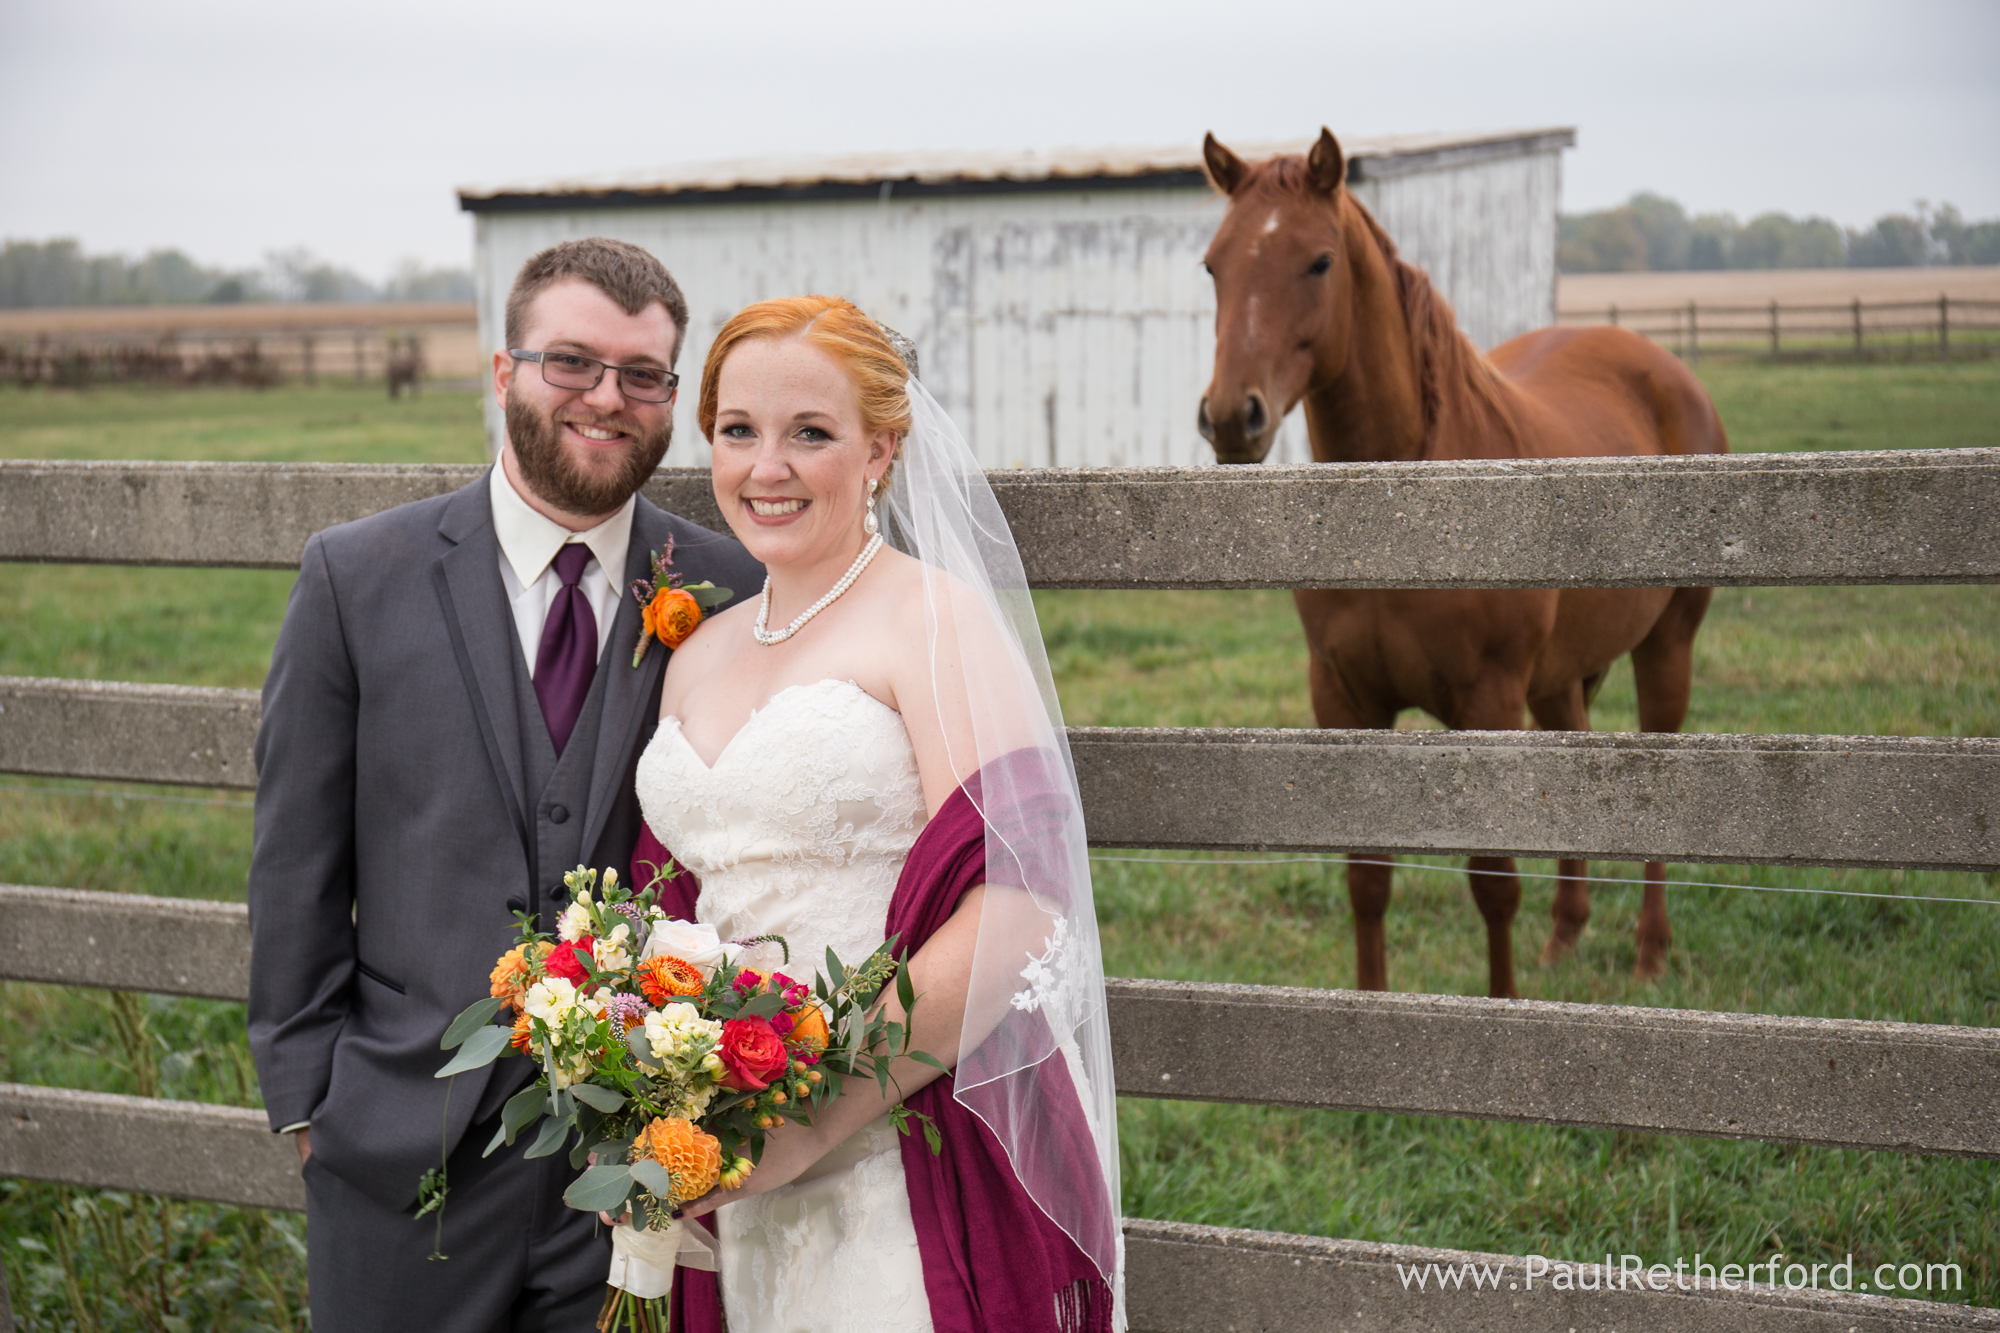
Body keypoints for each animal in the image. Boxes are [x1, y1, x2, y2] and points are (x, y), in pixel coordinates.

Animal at [1192, 130, 1728, 992]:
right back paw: (1565, 938)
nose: (1231, 417)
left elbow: (1493, 881)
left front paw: (1503, 1004)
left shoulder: (1488, 699)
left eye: (1319, 262)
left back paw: (1649, 953)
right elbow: (1368, 878)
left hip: (1665, 647)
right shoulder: (1345, 701)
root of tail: (1664, 368)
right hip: (1556, 681)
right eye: (1214, 265)